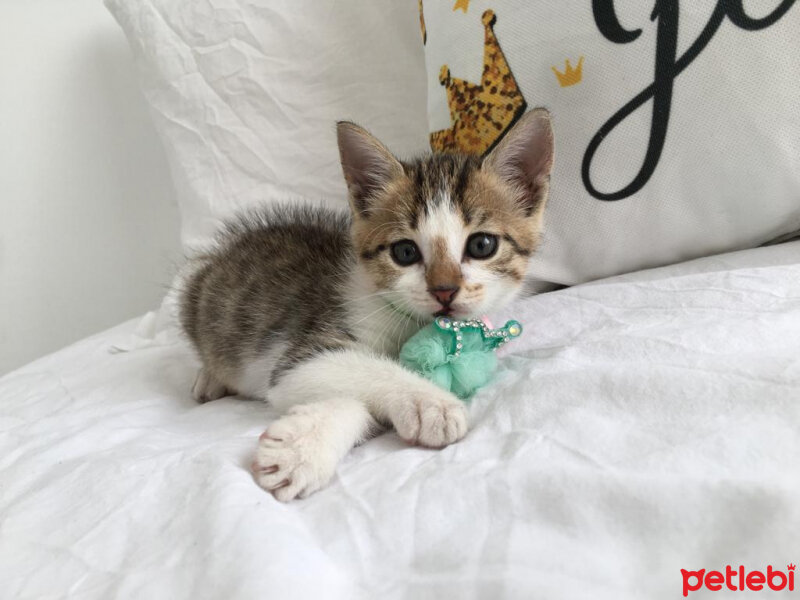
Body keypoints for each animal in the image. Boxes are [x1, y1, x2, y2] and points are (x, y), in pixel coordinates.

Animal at [178, 109, 552, 502]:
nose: (444, 291)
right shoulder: (302, 349)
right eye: (405, 252)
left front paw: (301, 447)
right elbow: (351, 367)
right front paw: (432, 403)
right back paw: (209, 378)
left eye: (482, 245)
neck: (409, 320)